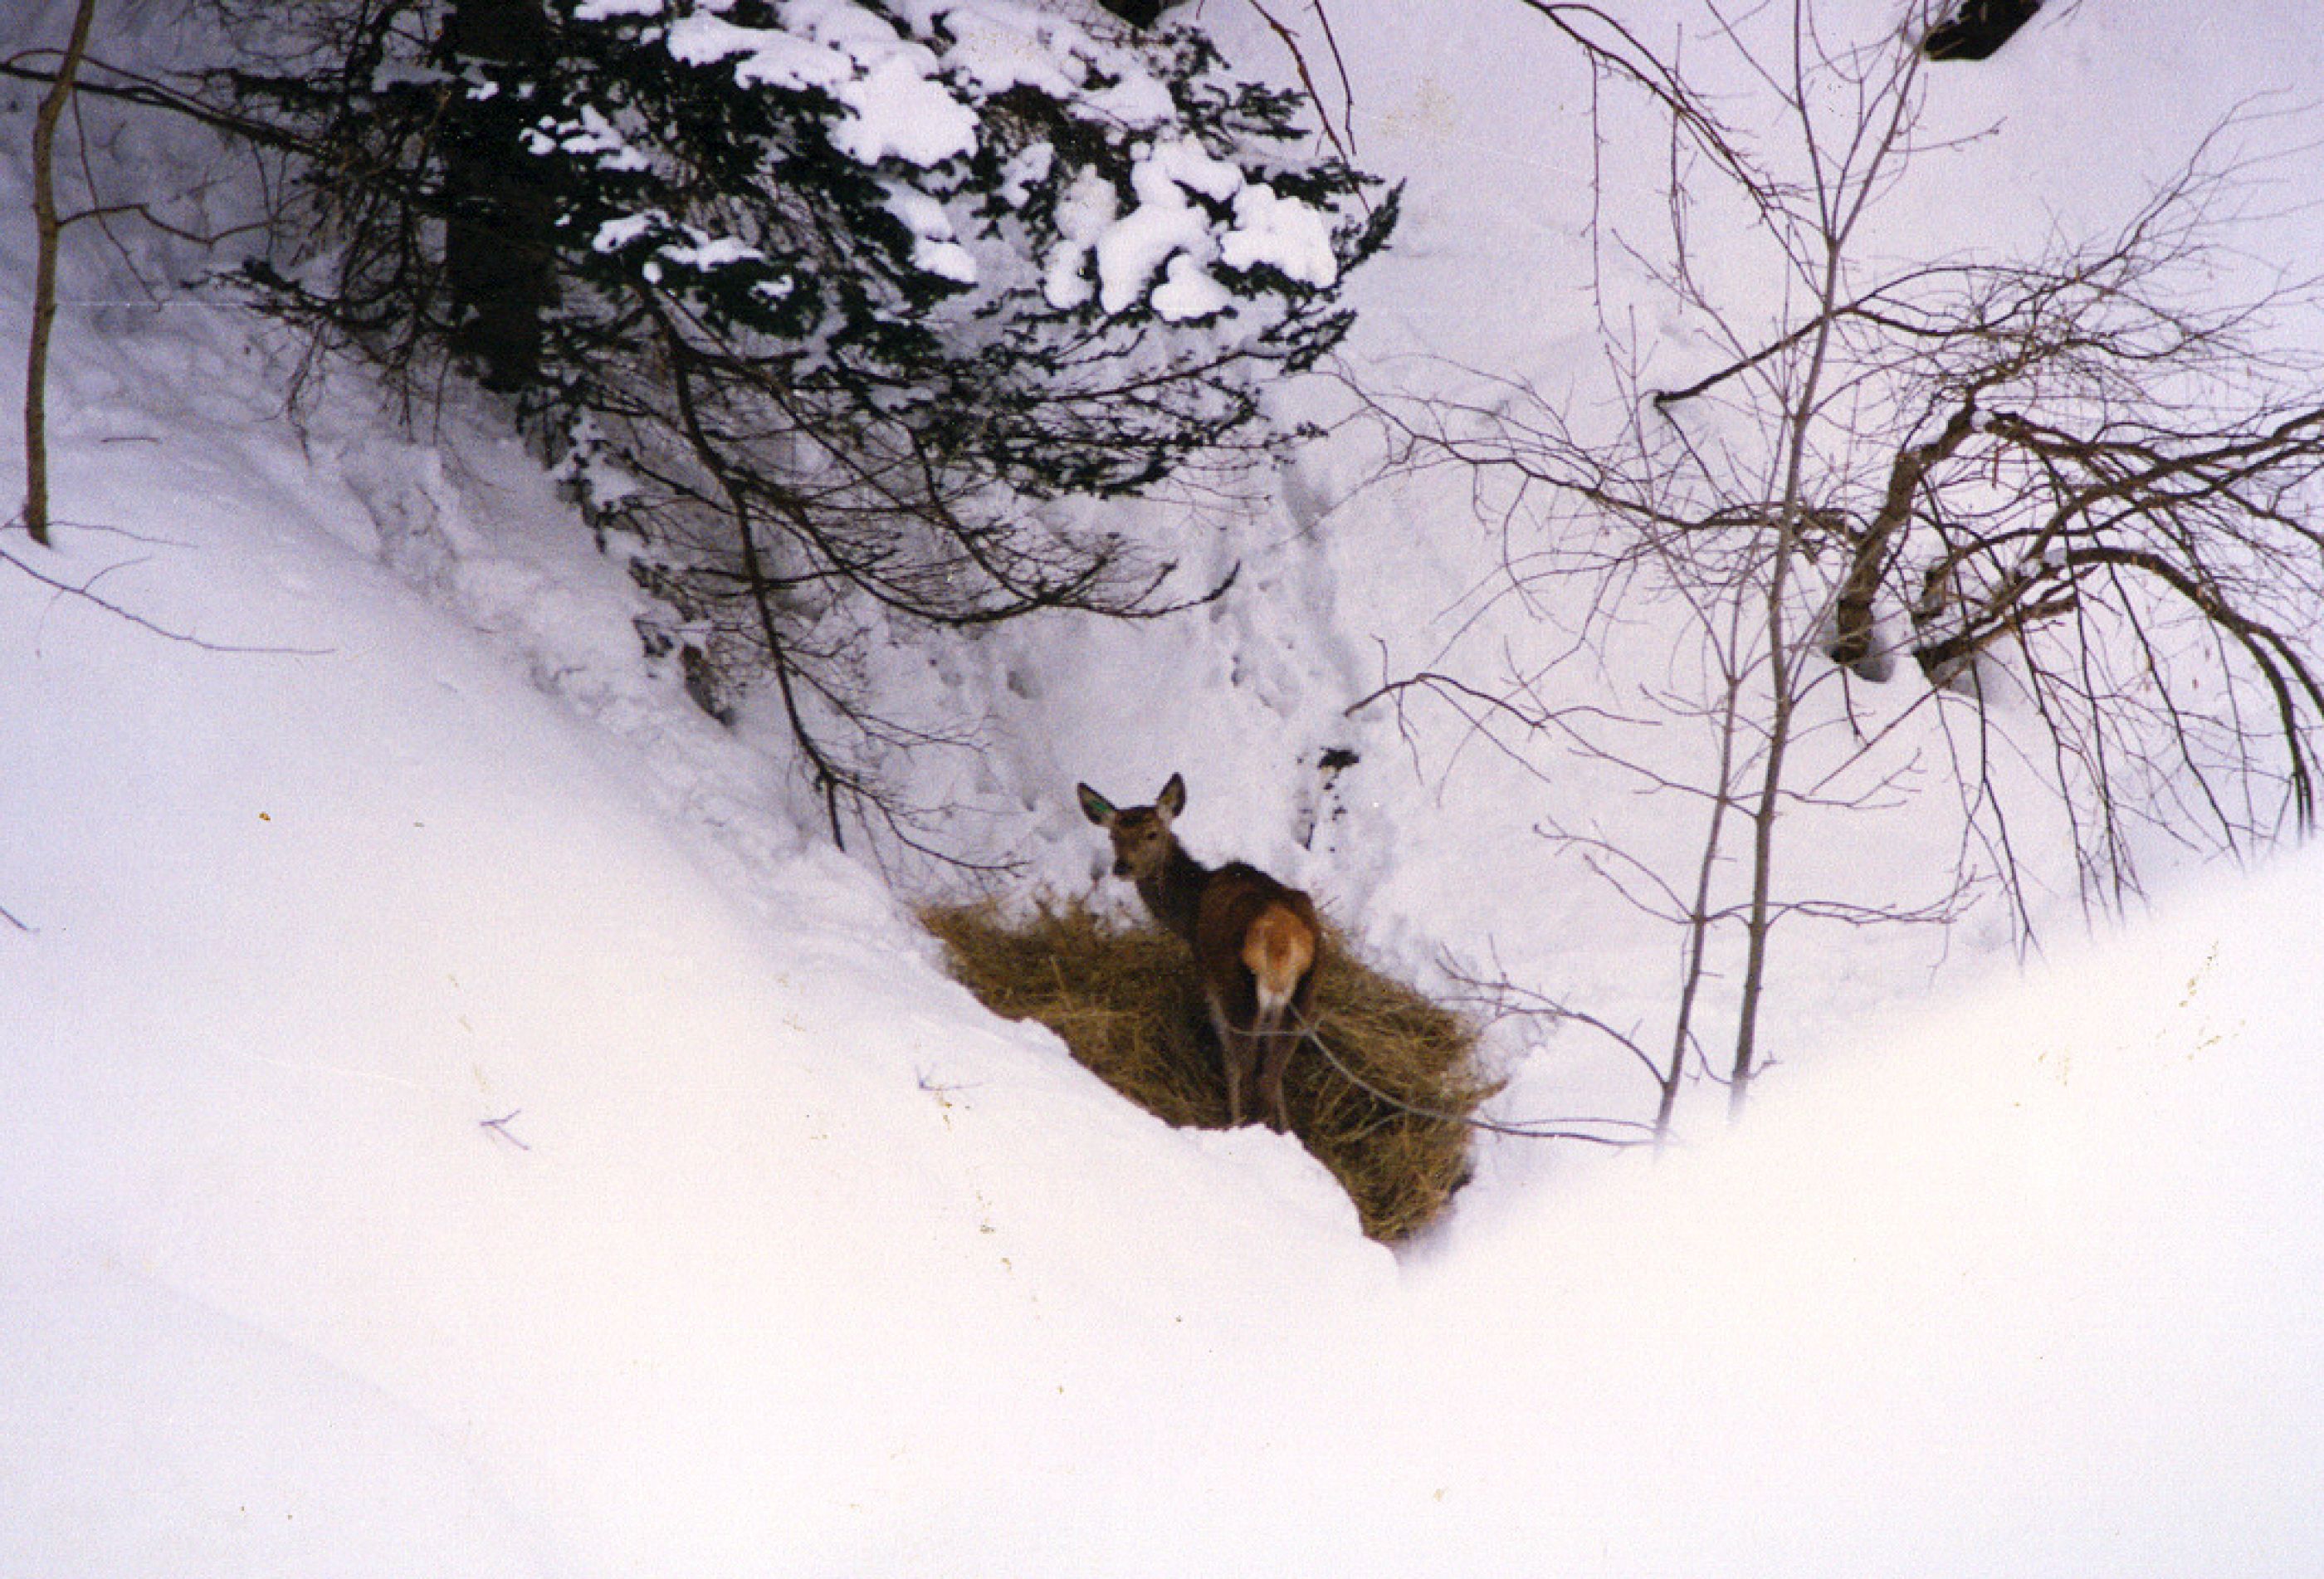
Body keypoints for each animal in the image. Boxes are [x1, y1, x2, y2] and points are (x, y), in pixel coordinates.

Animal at [1073, 771, 1320, 1130]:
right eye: (1113, 835)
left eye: (1152, 833)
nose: (1122, 867)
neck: (1191, 911)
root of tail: (1281, 942)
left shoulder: (1208, 971)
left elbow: (1229, 1056)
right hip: (1303, 997)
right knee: (1272, 1075)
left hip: (1238, 990)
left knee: (1246, 1068)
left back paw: (1239, 1123)